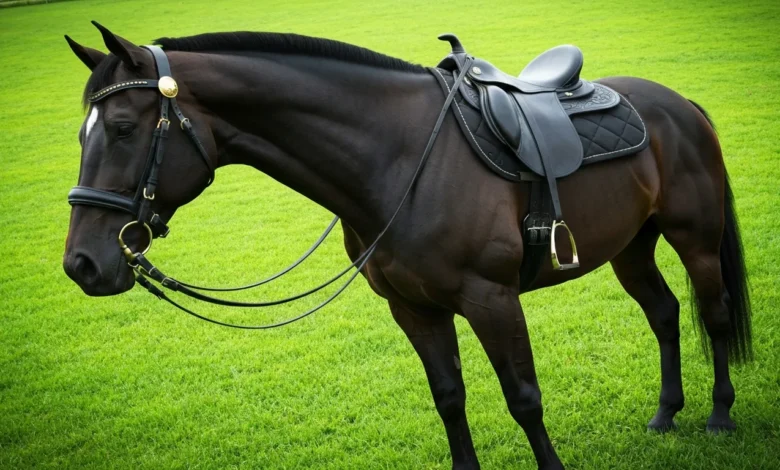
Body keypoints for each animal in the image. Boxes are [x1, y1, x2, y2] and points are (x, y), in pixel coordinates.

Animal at [62, 23, 752, 470]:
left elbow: (524, 400)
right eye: (83, 133)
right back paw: (666, 414)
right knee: (665, 313)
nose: (82, 264)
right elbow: (449, 398)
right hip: (630, 245)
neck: (398, 158)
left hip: (694, 238)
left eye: (121, 129)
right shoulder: (413, 307)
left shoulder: (492, 299)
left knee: (713, 314)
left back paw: (720, 418)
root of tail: (677, 103)